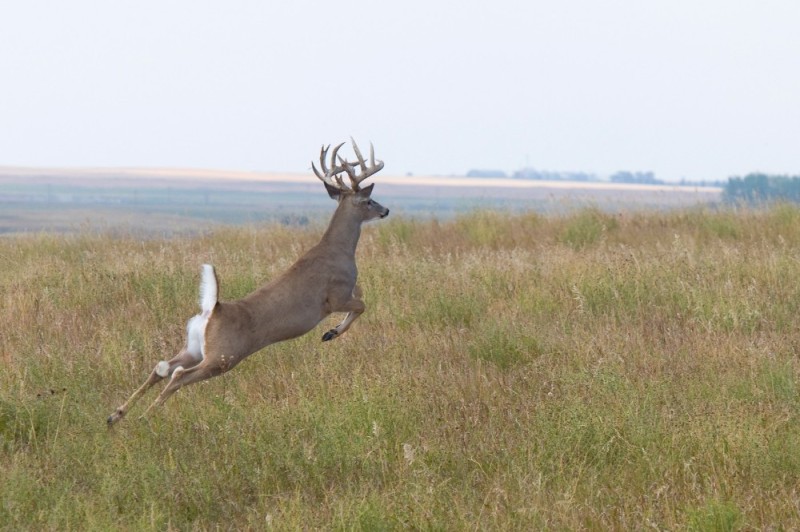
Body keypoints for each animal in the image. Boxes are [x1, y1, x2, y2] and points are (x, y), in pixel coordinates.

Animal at [107, 139, 390, 426]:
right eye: (368, 200)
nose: (386, 210)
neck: (338, 250)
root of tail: (213, 309)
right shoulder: (335, 296)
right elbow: (362, 304)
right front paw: (331, 333)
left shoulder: (346, 292)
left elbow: (362, 296)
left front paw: (330, 332)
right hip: (223, 357)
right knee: (177, 376)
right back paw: (143, 418)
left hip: (195, 348)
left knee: (161, 367)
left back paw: (115, 415)